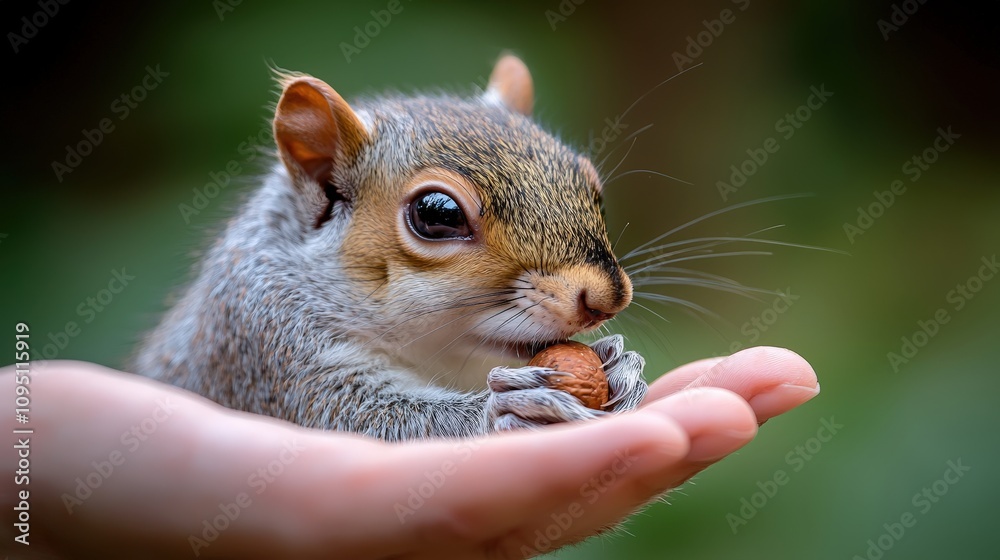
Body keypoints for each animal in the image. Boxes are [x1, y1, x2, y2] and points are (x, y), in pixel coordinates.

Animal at [133, 55, 648, 441]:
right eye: (438, 214)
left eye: (591, 185)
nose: (607, 299)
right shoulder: (264, 346)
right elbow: (359, 418)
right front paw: (508, 410)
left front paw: (620, 368)